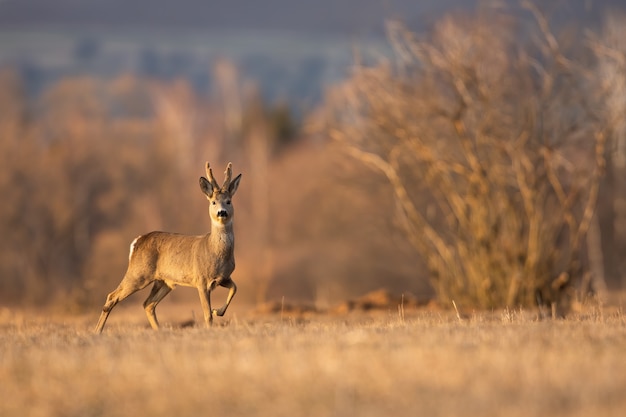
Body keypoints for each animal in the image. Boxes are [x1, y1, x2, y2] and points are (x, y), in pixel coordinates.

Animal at [94, 162, 241, 332]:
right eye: (213, 202)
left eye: (229, 201)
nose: (222, 213)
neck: (216, 252)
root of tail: (137, 241)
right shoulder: (201, 280)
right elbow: (207, 314)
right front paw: (212, 321)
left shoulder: (224, 277)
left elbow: (234, 288)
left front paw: (218, 311)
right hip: (138, 273)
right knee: (112, 296)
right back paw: (97, 332)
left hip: (164, 281)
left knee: (148, 304)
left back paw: (158, 331)